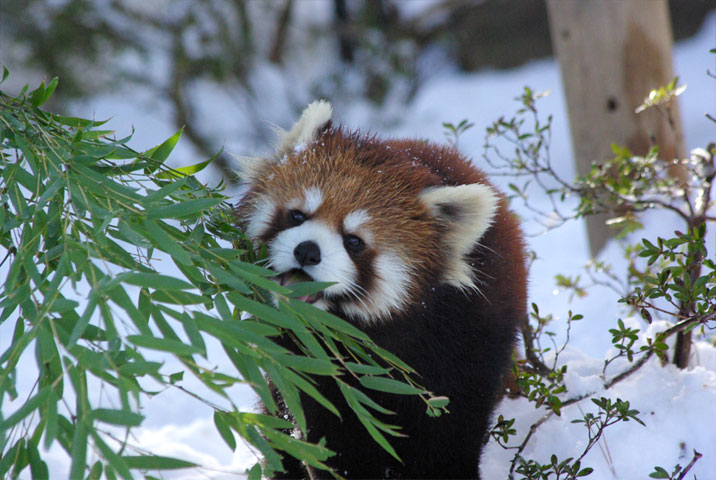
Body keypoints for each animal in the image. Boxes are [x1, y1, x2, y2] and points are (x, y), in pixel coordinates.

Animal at [235, 99, 524, 478]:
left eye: (354, 242)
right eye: (297, 216)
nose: (307, 251)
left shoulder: (463, 350)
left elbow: (450, 432)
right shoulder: (296, 361)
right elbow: (324, 432)